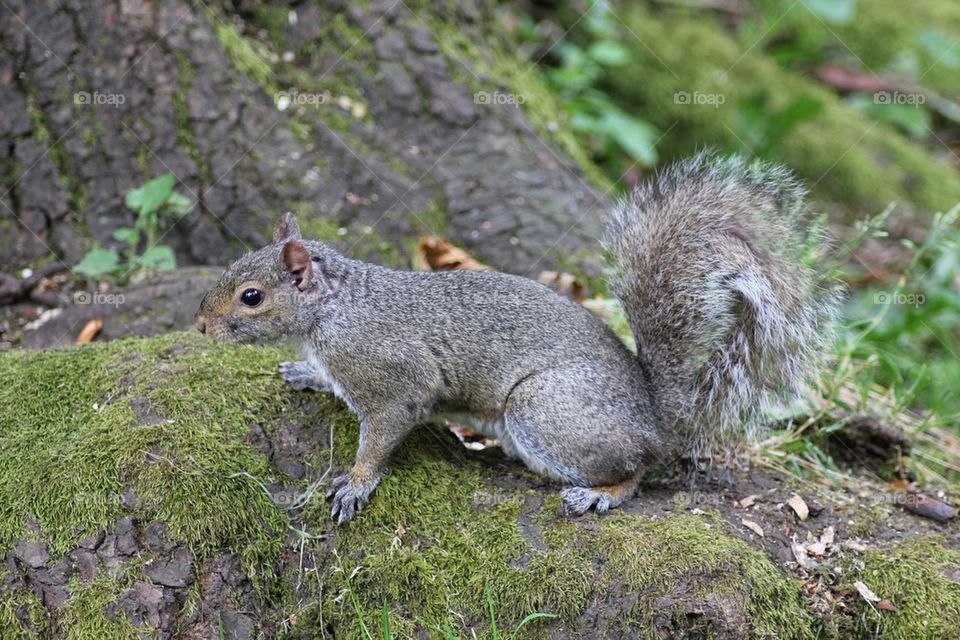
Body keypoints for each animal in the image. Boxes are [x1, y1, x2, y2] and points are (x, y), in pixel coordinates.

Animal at [195, 152, 839, 524]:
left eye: (251, 297)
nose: (201, 326)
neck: (336, 308)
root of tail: (659, 417)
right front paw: (306, 374)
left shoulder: (390, 375)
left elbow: (384, 431)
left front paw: (355, 485)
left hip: (544, 410)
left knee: (634, 469)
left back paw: (602, 494)